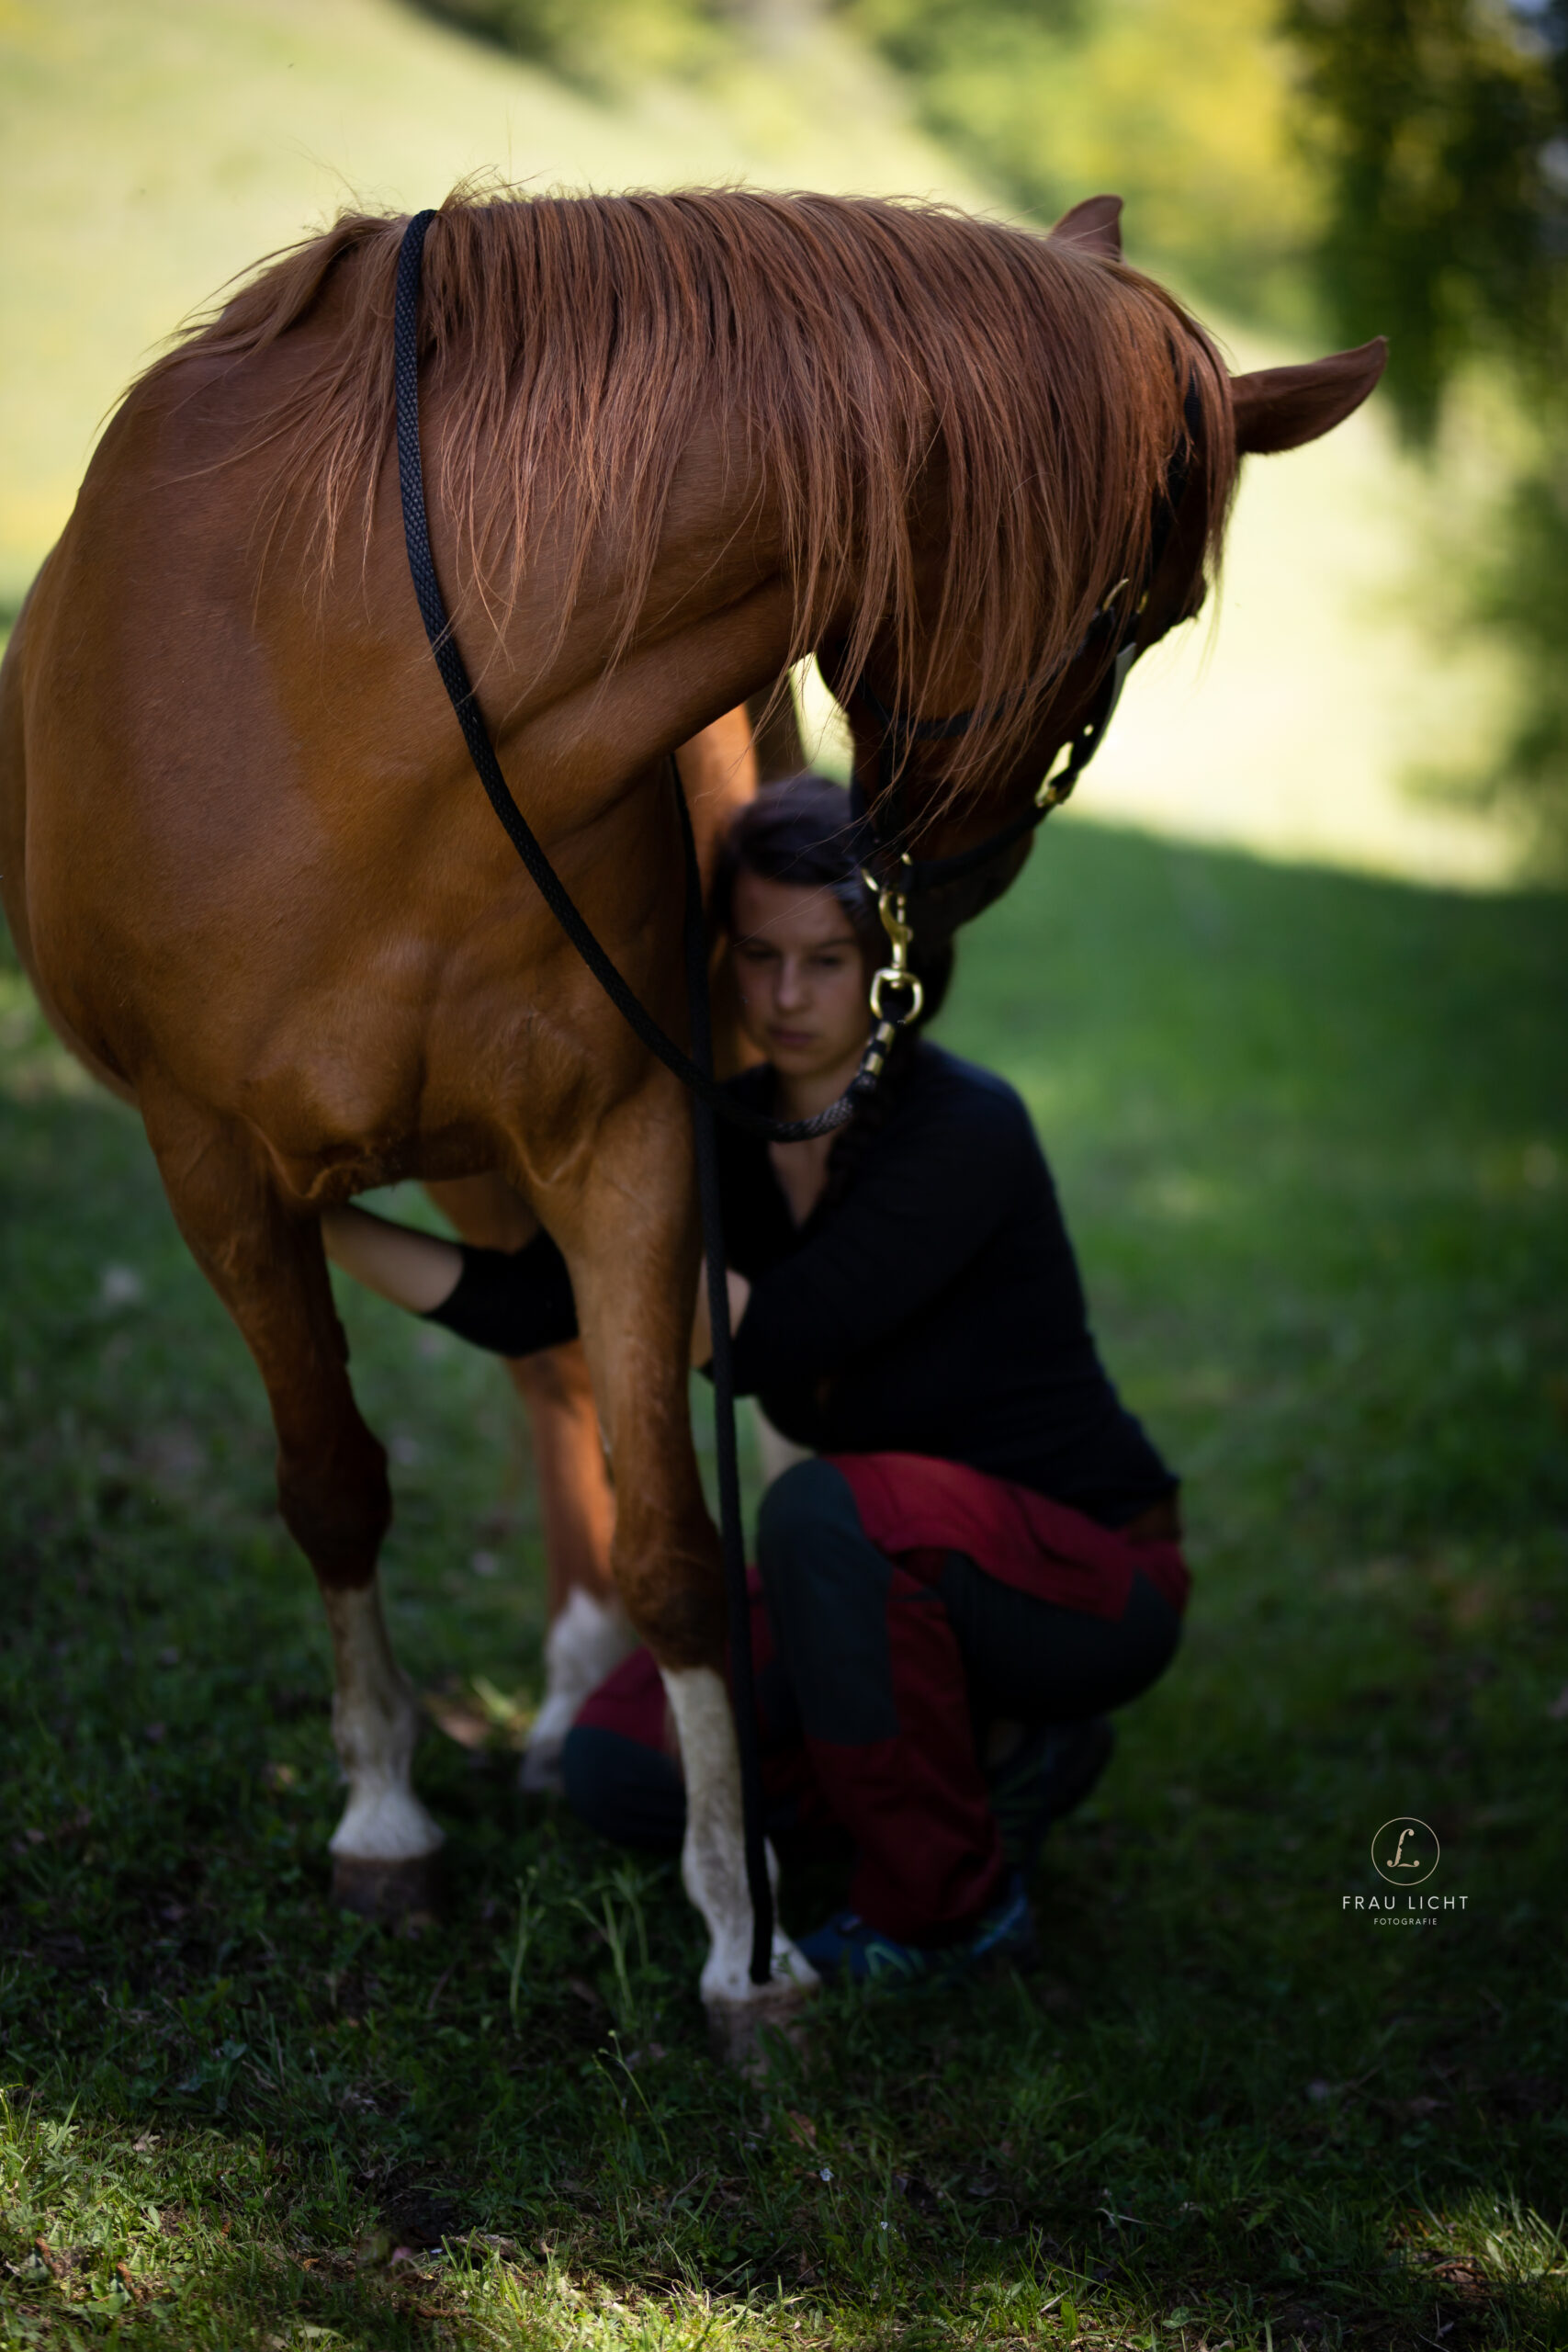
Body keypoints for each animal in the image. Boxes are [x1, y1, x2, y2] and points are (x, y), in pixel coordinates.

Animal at [0, 192, 1382, 2051]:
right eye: (1130, 618)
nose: (949, 893)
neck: (352, 678)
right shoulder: (215, 1165)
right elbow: (336, 1483)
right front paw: (382, 1821)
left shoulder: (626, 1141)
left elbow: (679, 1537)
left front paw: (746, 1930)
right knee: (533, 1362)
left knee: (584, 1382)